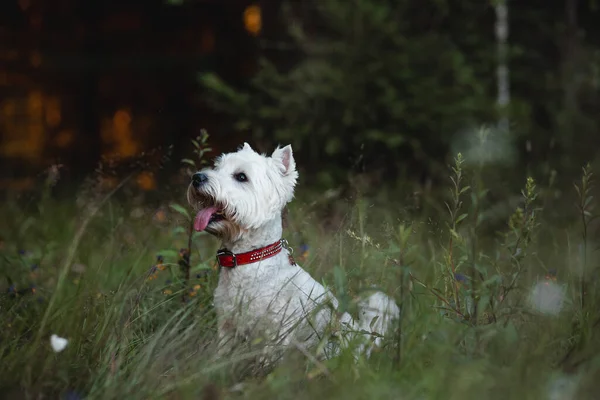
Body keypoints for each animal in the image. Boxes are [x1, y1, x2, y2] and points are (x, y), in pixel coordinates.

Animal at [188, 144, 398, 362]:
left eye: (241, 176)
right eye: (217, 167)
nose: (197, 177)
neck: (249, 259)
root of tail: (363, 343)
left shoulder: (275, 333)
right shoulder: (227, 326)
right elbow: (222, 357)